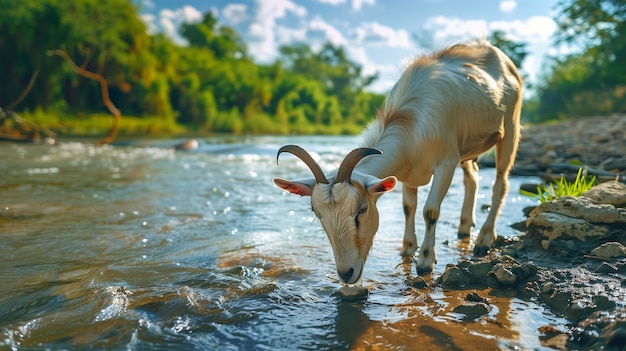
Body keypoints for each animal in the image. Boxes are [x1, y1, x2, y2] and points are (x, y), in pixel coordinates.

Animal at [272, 40, 520, 284]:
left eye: (362, 209)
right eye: (317, 213)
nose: (346, 274)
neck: (411, 126)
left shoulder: (446, 162)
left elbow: (430, 210)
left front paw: (425, 261)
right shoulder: (408, 173)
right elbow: (408, 208)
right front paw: (407, 249)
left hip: (510, 126)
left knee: (501, 182)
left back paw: (484, 240)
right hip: (468, 147)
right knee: (473, 178)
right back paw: (465, 228)